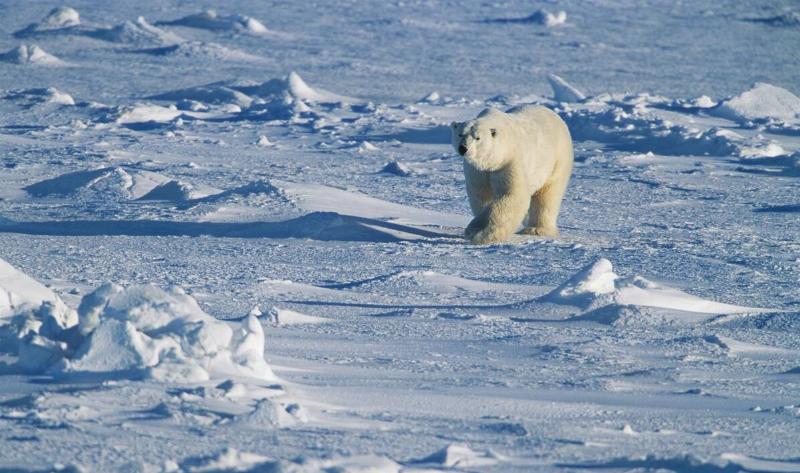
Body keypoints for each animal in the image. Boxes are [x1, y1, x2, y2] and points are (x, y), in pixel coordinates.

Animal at [451, 105, 573, 244]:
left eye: (477, 138)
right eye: (460, 134)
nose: (463, 148)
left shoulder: (510, 161)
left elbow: (512, 195)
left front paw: (479, 232)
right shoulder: (477, 170)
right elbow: (481, 195)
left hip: (557, 160)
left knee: (547, 194)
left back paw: (536, 229)